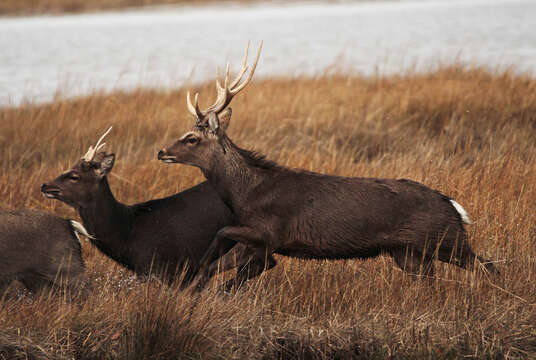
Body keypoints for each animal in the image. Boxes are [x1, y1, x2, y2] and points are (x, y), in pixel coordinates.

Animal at [157, 43, 496, 290]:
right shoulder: (258, 240)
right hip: (409, 253)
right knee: (433, 279)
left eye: (191, 138)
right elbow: (222, 264)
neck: (246, 193)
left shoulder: (268, 231)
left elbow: (222, 237)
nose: (162, 152)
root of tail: (452, 204)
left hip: (446, 239)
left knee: (488, 265)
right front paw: (195, 289)